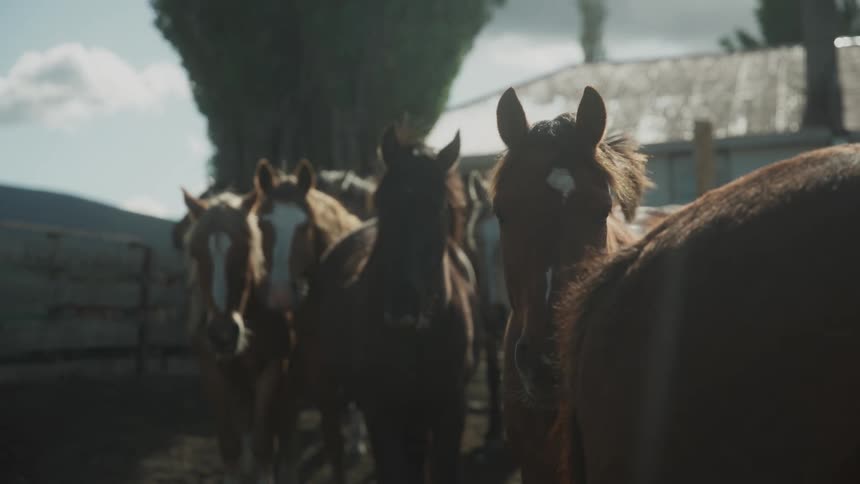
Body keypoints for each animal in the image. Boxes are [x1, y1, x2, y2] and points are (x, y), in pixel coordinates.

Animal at [180, 189, 294, 484]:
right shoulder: (212, 372)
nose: (223, 336)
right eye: (196, 253)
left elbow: (263, 445)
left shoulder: (273, 369)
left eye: (245, 250)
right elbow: (230, 446)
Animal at [315, 127, 477, 484]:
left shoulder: (449, 412)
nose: (402, 306)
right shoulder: (382, 414)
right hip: (329, 391)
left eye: (437, 208)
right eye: (383, 202)